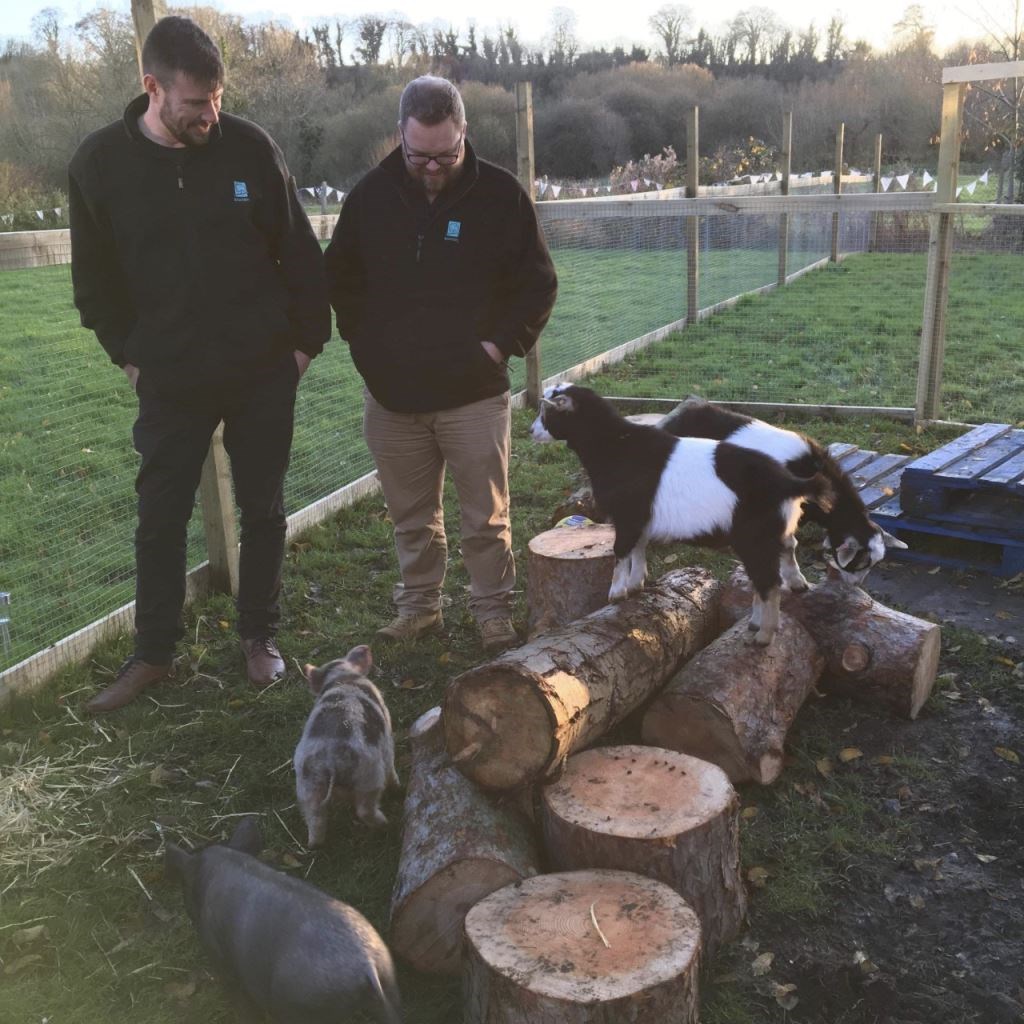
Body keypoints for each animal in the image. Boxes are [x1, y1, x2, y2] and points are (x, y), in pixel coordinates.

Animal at [532, 380, 835, 643]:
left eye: (546, 409)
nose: (531, 431)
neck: (618, 444)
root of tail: (788, 482)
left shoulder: (627, 515)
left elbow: (621, 551)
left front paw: (616, 593)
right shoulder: (642, 518)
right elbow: (639, 547)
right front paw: (636, 585)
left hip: (755, 538)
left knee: (768, 582)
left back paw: (763, 636)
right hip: (775, 533)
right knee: (776, 566)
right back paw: (758, 622)